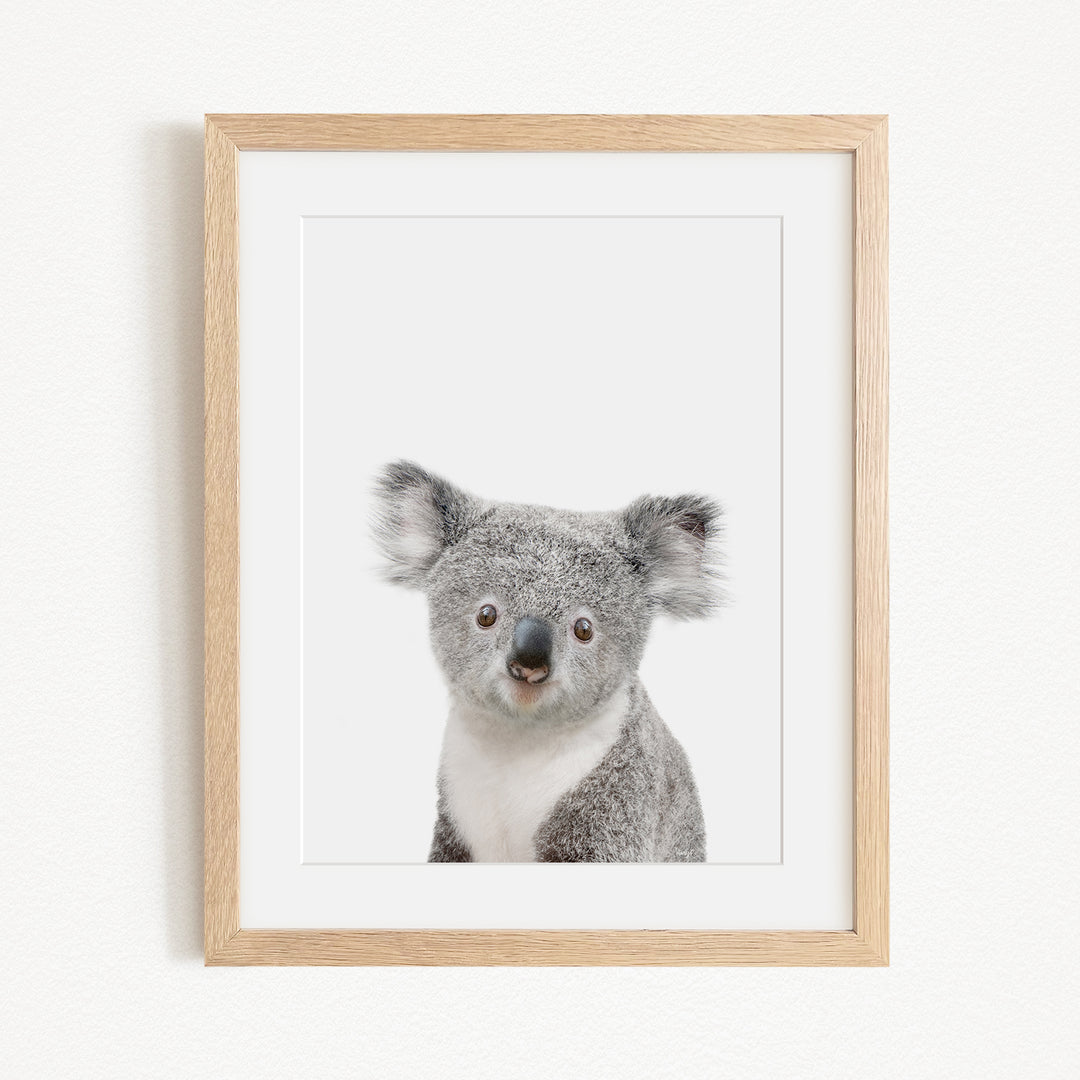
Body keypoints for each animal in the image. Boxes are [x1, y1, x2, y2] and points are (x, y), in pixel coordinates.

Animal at [372, 460, 723, 863]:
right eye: (486, 615)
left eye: (584, 629)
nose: (528, 663)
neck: (519, 738)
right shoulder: (455, 819)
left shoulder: (615, 805)